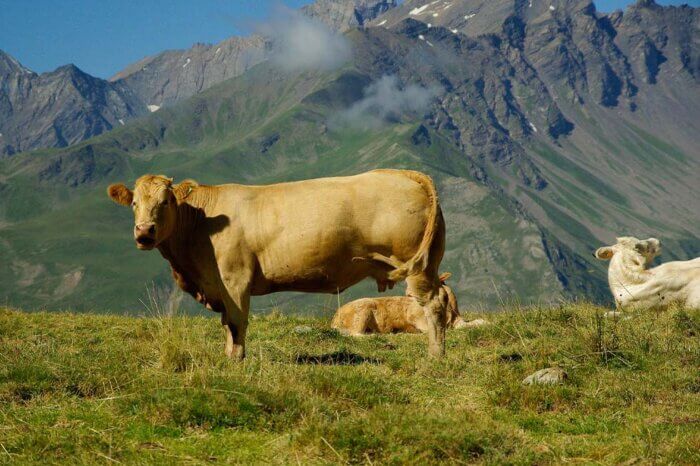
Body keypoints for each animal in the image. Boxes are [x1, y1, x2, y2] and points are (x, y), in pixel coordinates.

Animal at [108, 169, 448, 358]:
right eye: (135, 203)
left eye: (165, 201)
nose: (144, 232)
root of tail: (404, 173)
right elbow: (226, 324)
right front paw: (227, 356)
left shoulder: (235, 280)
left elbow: (236, 322)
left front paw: (236, 361)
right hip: (430, 262)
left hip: (415, 264)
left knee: (432, 305)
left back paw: (435, 356)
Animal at [330, 274, 468, 334]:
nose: (409, 294)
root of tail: (335, 317)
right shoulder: (417, 318)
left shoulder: (458, 321)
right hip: (362, 312)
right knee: (355, 333)